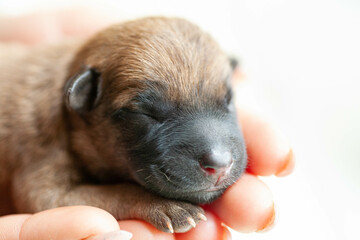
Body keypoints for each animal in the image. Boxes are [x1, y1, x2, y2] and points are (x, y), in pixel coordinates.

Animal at [0, 16, 246, 232]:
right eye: (145, 113)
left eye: (229, 100)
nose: (220, 165)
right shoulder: (44, 169)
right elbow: (117, 191)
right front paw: (167, 207)